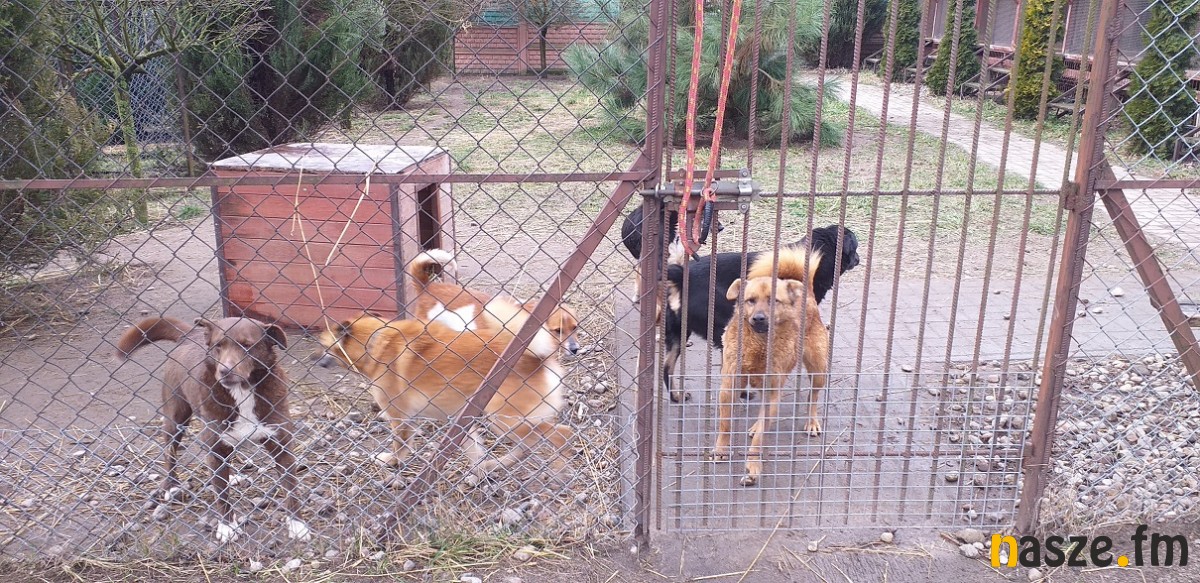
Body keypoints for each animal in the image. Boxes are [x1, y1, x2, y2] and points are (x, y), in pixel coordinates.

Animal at [115, 316, 310, 544]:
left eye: (247, 345)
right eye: (219, 346)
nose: (225, 371)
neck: (242, 391)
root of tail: (191, 334)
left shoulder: (281, 444)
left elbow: (291, 489)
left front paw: (297, 525)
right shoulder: (215, 447)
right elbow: (222, 494)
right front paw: (226, 527)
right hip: (176, 418)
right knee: (169, 452)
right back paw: (171, 486)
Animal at [314, 310, 573, 480]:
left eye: (323, 345)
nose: (314, 360)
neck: (375, 341)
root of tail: (536, 359)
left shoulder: (399, 417)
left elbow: (399, 446)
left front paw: (392, 461)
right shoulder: (461, 420)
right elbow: (473, 450)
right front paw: (479, 471)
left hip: (506, 421)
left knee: (562, 435)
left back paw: (560, 470)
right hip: (507, 421)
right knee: (527, 447)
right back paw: (495, 464)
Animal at [661, 225, 859, 402]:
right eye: (855, 247)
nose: (859, 259)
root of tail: (682, 276)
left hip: (679, 333)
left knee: (667, 367)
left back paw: (676, 396)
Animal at [709, 246, 829, 487]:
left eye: (774, 300)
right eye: (750, 300)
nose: (759, 318)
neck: (758, 346)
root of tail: (806, 293)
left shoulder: (773, 392)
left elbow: (759, 438)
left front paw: (753, 466)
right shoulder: (728, 388)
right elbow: (725, 424)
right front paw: (721, 449)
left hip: (818, 368)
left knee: (812, 396)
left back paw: (811, 421)